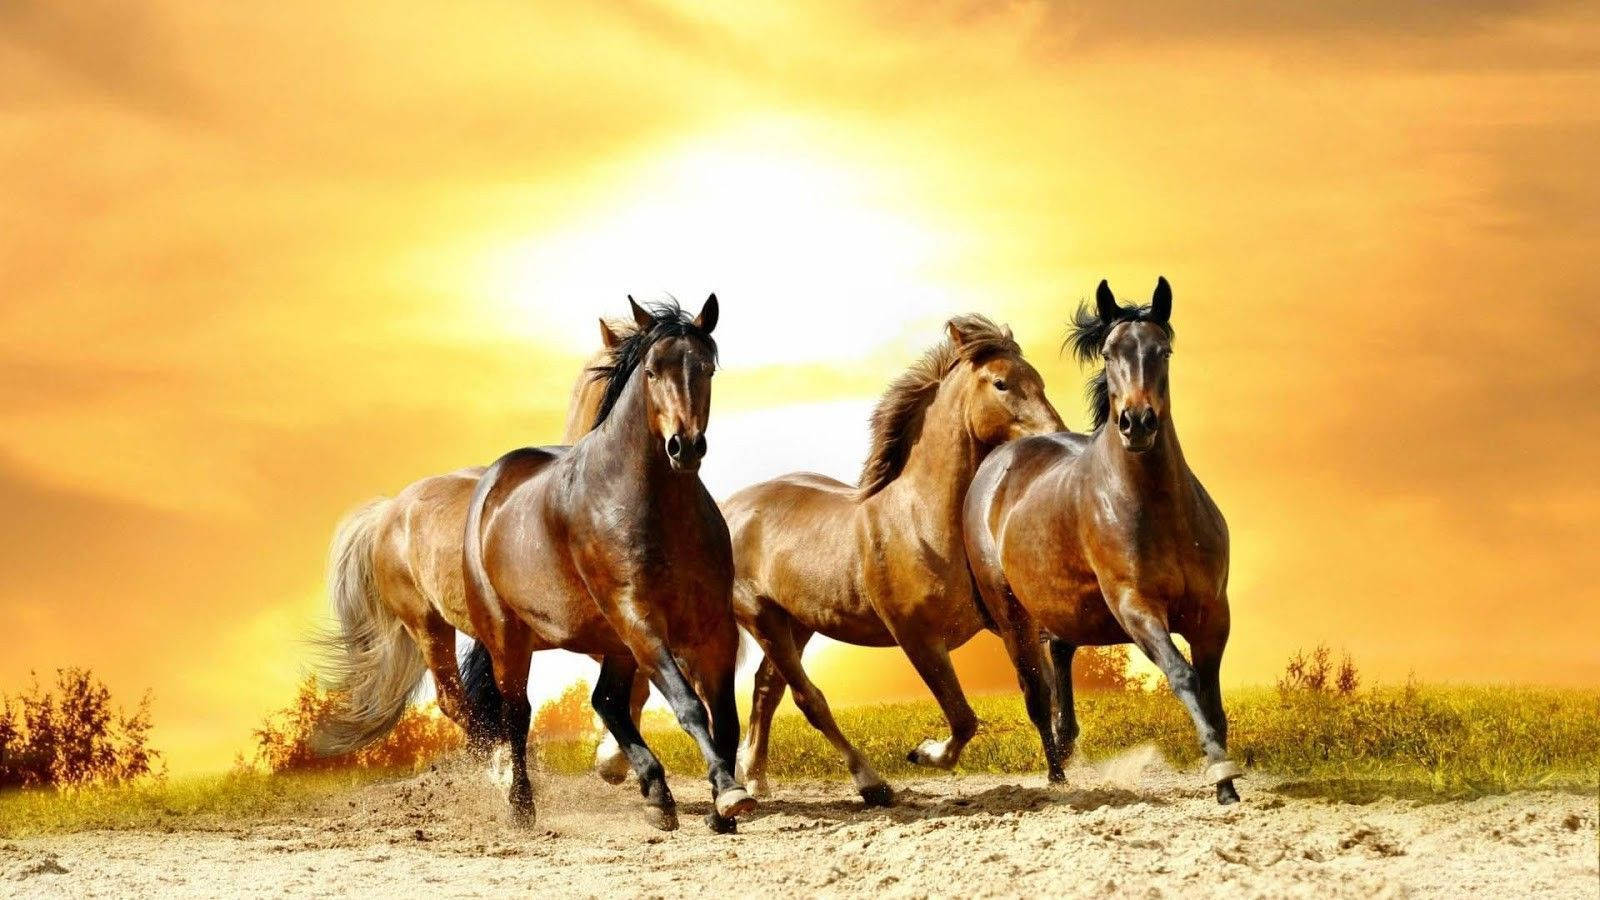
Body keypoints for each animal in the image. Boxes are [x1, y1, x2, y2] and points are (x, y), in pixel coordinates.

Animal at [460, 296, 755, 833]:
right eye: (652, 371)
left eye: (705, 368)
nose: (685, 446)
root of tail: (492, 485)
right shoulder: (639, 618)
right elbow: (689, 706)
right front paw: (728, 793)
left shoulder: (713, 627)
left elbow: (724, 716)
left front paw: (722, 806)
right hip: (510, 638)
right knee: (519, 713)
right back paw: (522, 807)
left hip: (613, 641)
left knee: (607, 702)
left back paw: (656, 794)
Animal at [723, 315, 1063, 805]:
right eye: (1001, 383)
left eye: (1038, 379)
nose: (1055, 434)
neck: (921, 521)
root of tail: (729, 509)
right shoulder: (917, 637)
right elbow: (963, 718)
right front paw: (923, 752)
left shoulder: (1010, 623)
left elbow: (1039, 693)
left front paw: (1060, 774)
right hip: (762, 618)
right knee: (808, 699)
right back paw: (872, 783)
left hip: (798, 623)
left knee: (767, 689)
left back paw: (754, 777)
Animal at [962, 278, 1243, 804]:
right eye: (1110, 353)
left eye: (1163, 350)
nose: (1137, 422)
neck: (1158, 509)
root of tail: (997, 462)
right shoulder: (1136, 606)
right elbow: (1184, 676)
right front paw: (1221, 774)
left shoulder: (1213, 612)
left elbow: (1213, 694)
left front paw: (1227, 779)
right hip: (1012, 615)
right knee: (1035, 692)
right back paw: (1056, 774)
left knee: (1060, 652)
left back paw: (1067, 743)